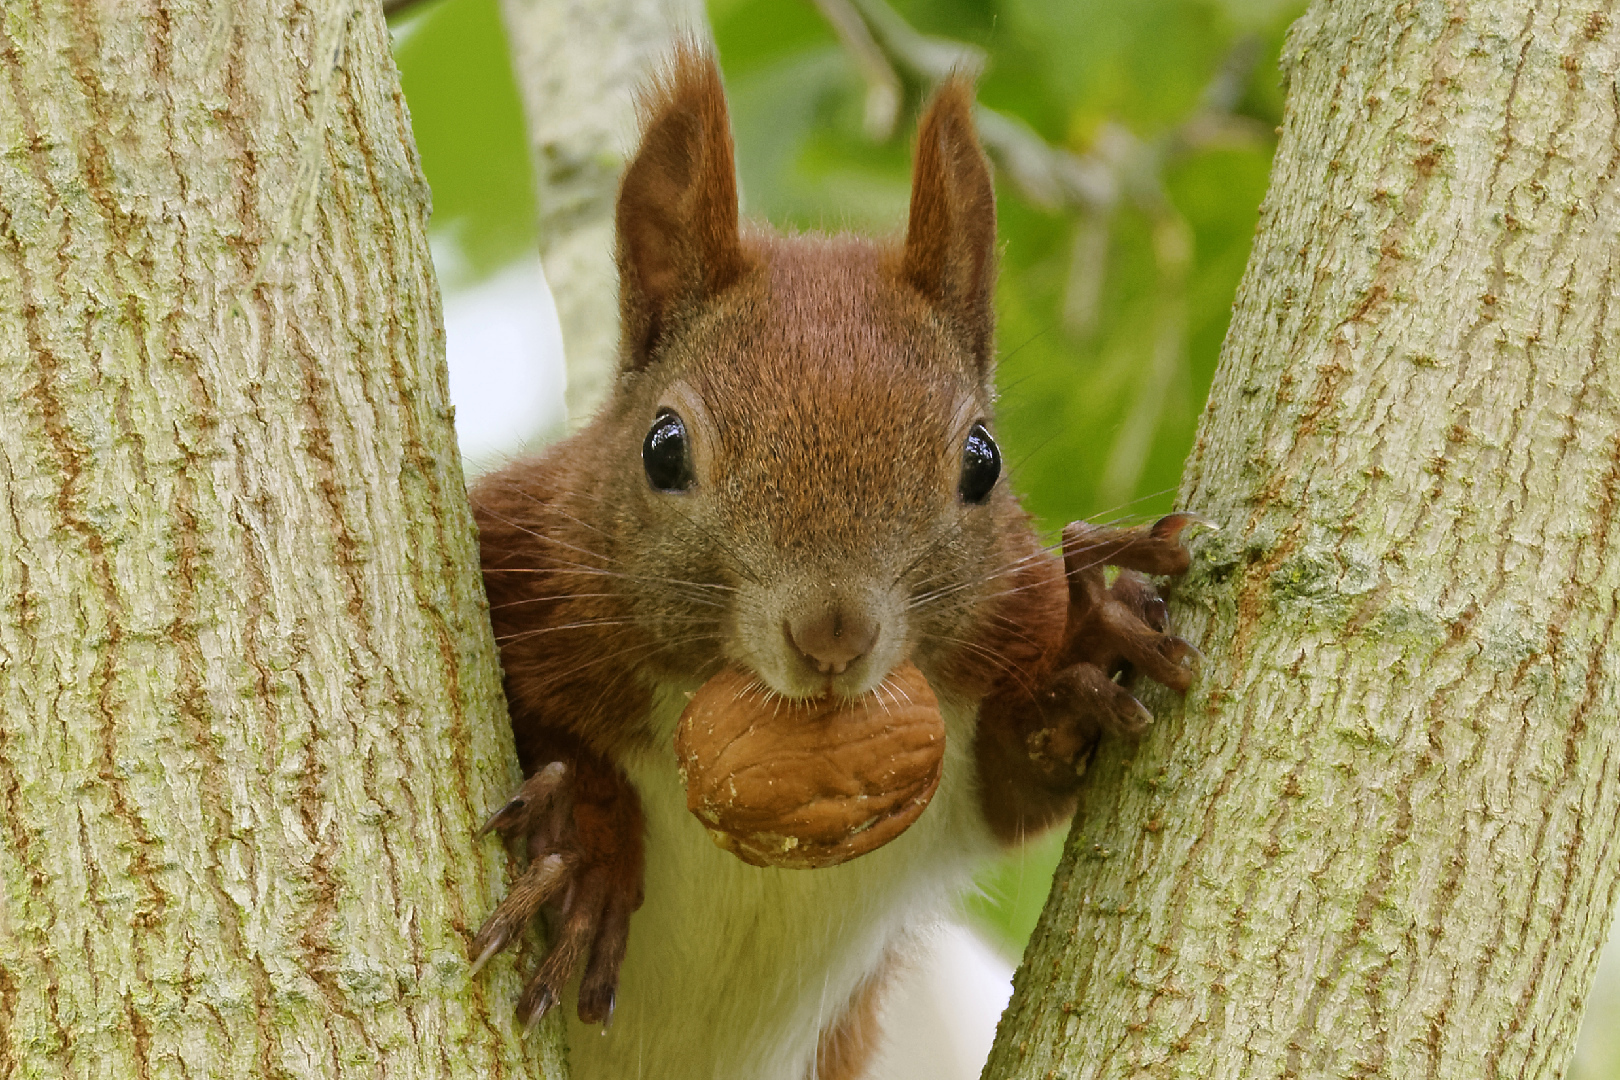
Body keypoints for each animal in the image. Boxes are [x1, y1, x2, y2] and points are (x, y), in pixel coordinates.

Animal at [469, 42, 1205, 1080]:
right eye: (662, 448)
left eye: (984, 460)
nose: (832, 632)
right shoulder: (521, 559)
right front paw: (587, 843)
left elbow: (1021, 780)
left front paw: (1090, 653)